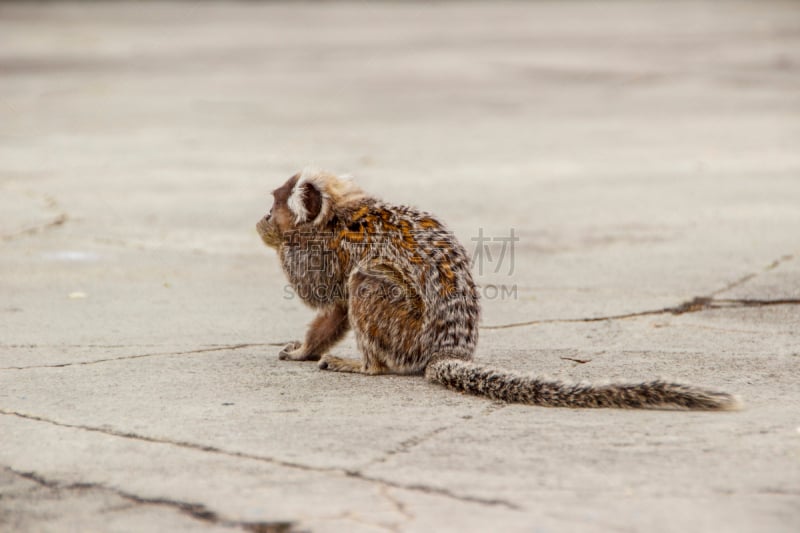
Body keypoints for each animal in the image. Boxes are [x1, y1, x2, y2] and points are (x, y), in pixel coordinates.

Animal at [256, 168, 736, 410]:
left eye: (273, 208)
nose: (262, 220)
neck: (336, 220)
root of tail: (445, 349)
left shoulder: (326, 254)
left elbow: (330, 300)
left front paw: (306, 350)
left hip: (403, 332)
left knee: (367, 281)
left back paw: (365, 366)